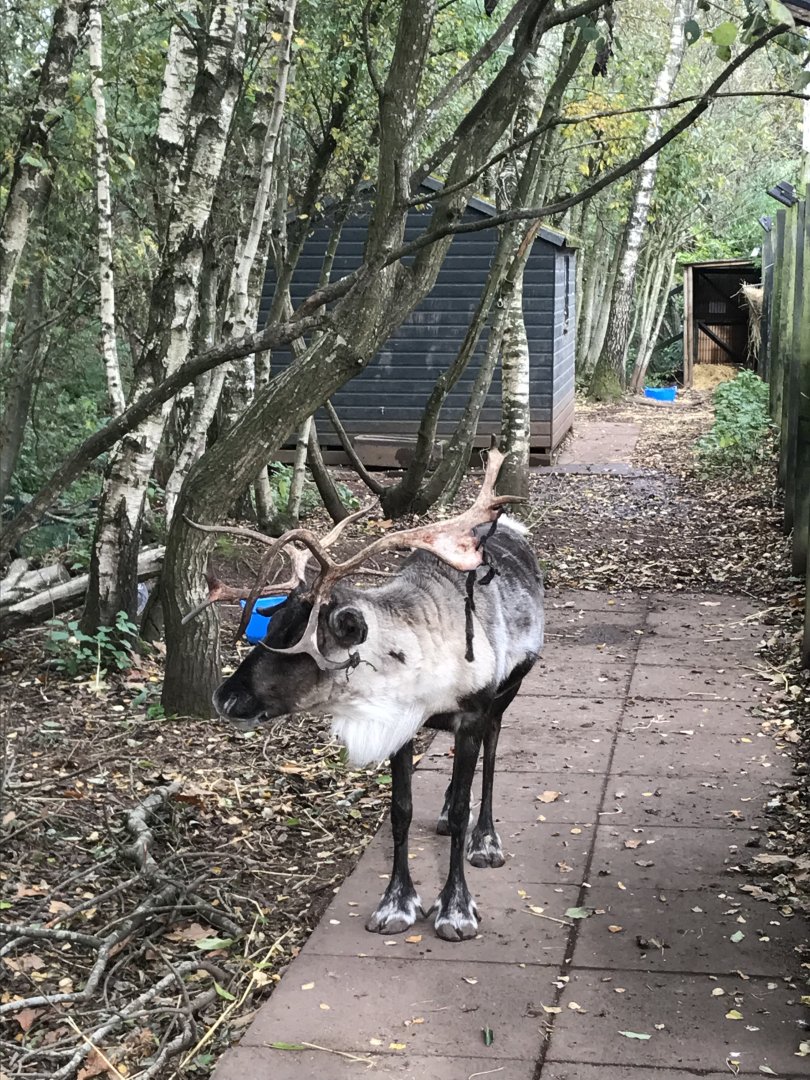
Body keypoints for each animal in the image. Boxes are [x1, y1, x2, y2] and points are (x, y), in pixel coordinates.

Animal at [186, 450, 544, 941]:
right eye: (271, 627)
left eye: (299, 646)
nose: (225, 697)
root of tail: (513, 528)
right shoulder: (401, 723)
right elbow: (401, 811)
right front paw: (396, 903)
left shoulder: (472, 713)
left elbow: (465, 798)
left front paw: (456, 909)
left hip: (508, 694)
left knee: (490, 756)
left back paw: (484, 839)